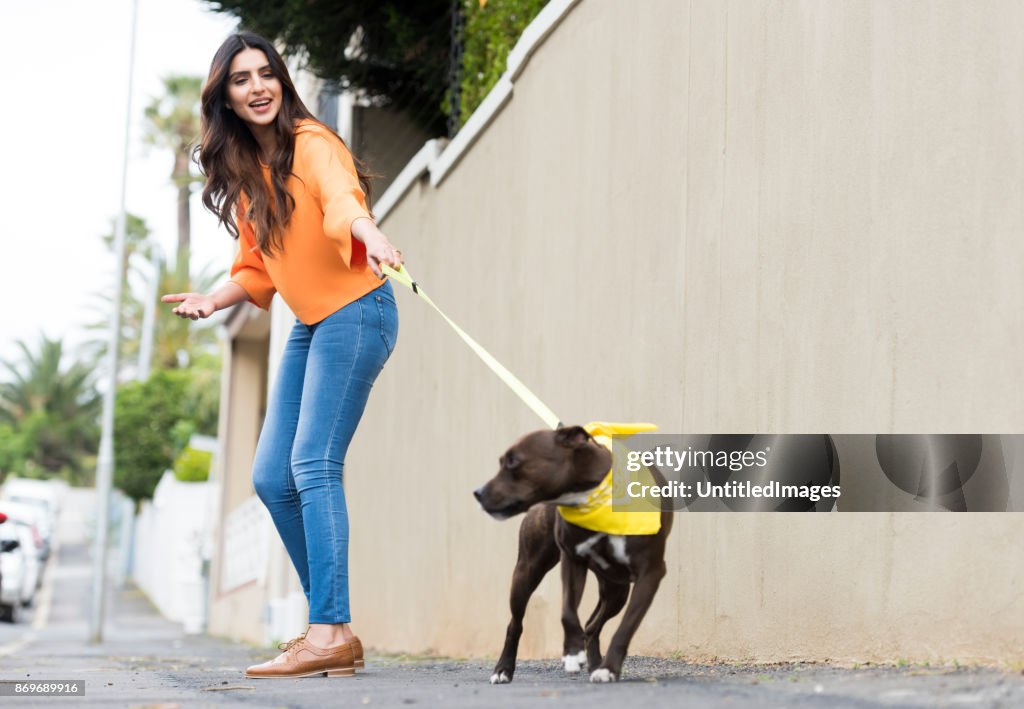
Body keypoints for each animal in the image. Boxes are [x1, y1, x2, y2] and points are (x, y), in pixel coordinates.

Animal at [475, 426, 675, 680]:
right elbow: (567, 611)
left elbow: (626, 627)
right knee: (516, 624)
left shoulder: (650, 573)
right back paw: (503, 669)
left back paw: (596, 664)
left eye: (513, 462)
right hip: (527, 571)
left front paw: (608, 669)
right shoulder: (571, 560)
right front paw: (572, 653)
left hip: (617, 591)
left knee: (592, 626)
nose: (478, 492)